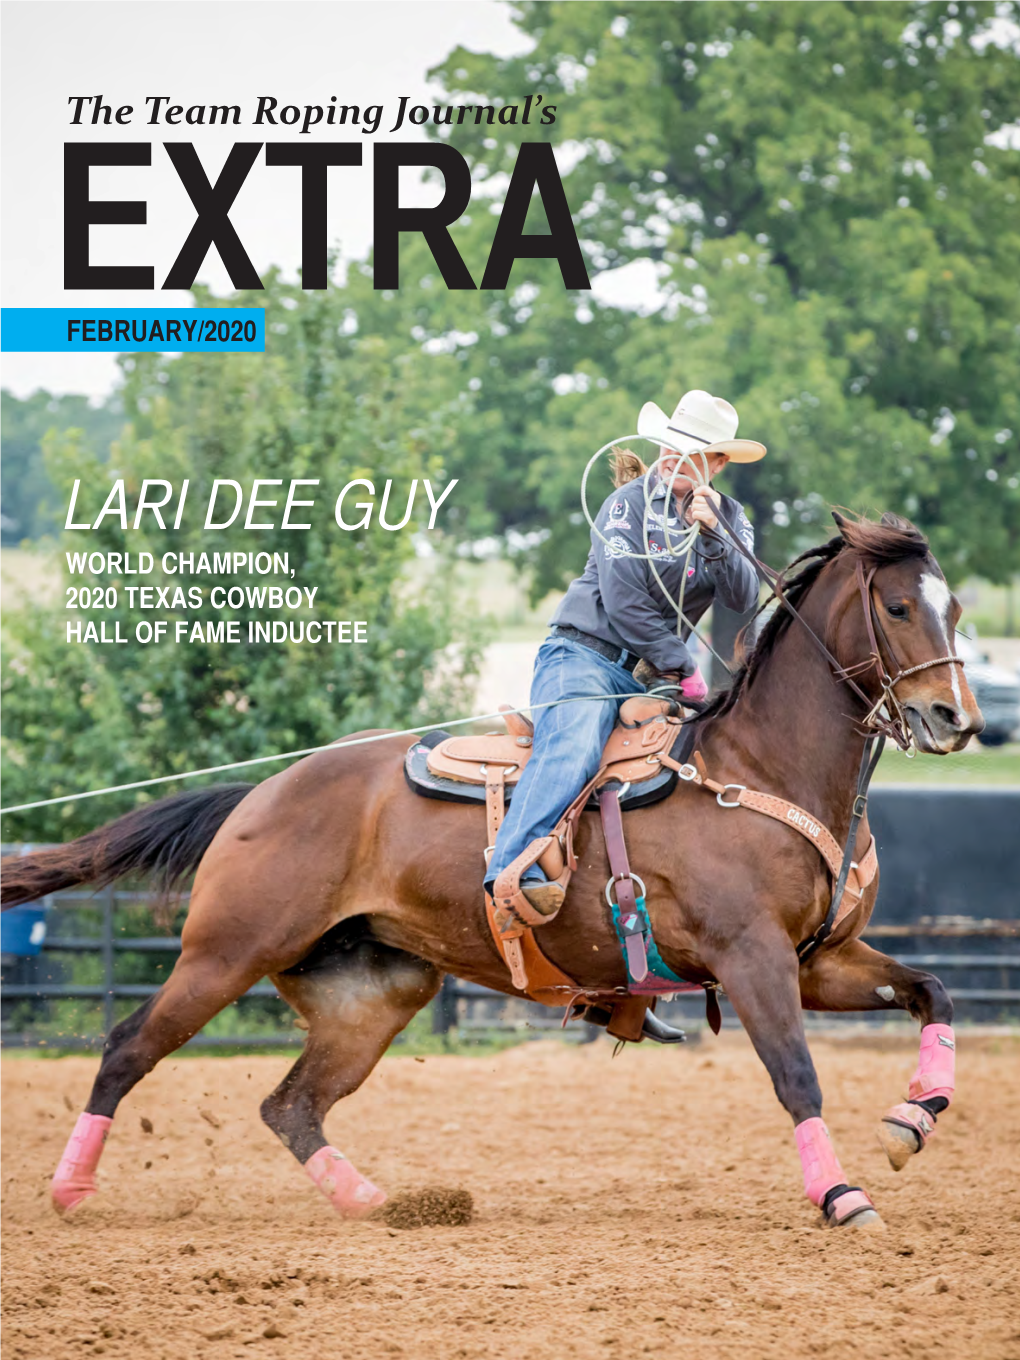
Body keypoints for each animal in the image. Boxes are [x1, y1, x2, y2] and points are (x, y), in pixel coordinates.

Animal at [3, 514, 984, 1229]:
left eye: (958, 609)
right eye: (900, 609)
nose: (956, 719)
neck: (758, 768)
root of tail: (258, 797)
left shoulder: (820, 960)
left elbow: (932, 989)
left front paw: (909, 1122)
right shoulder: (753, 959)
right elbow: (796, 1075)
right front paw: (843, 1196)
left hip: (372, 994)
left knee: (291, 1105)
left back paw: (375, 1202)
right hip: (226, 952)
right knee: (129, 1048)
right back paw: (71, 1191)